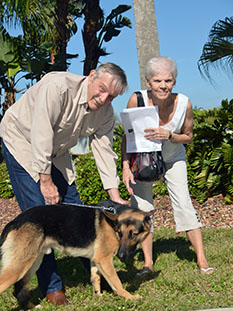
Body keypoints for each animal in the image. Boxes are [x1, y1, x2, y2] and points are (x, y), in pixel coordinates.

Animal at [0, 200, 154, 310]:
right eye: (120, 233)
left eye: (133, 234)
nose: (121, 256)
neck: (112, 222)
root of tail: (14, 221)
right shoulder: (104, 259)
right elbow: (117, 282)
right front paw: (130, 297)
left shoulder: (96, 260)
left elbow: (95, 278)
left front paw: (98, 297)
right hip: (19, 267)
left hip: (32, 263)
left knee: (19, 290)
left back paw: (33, 307)